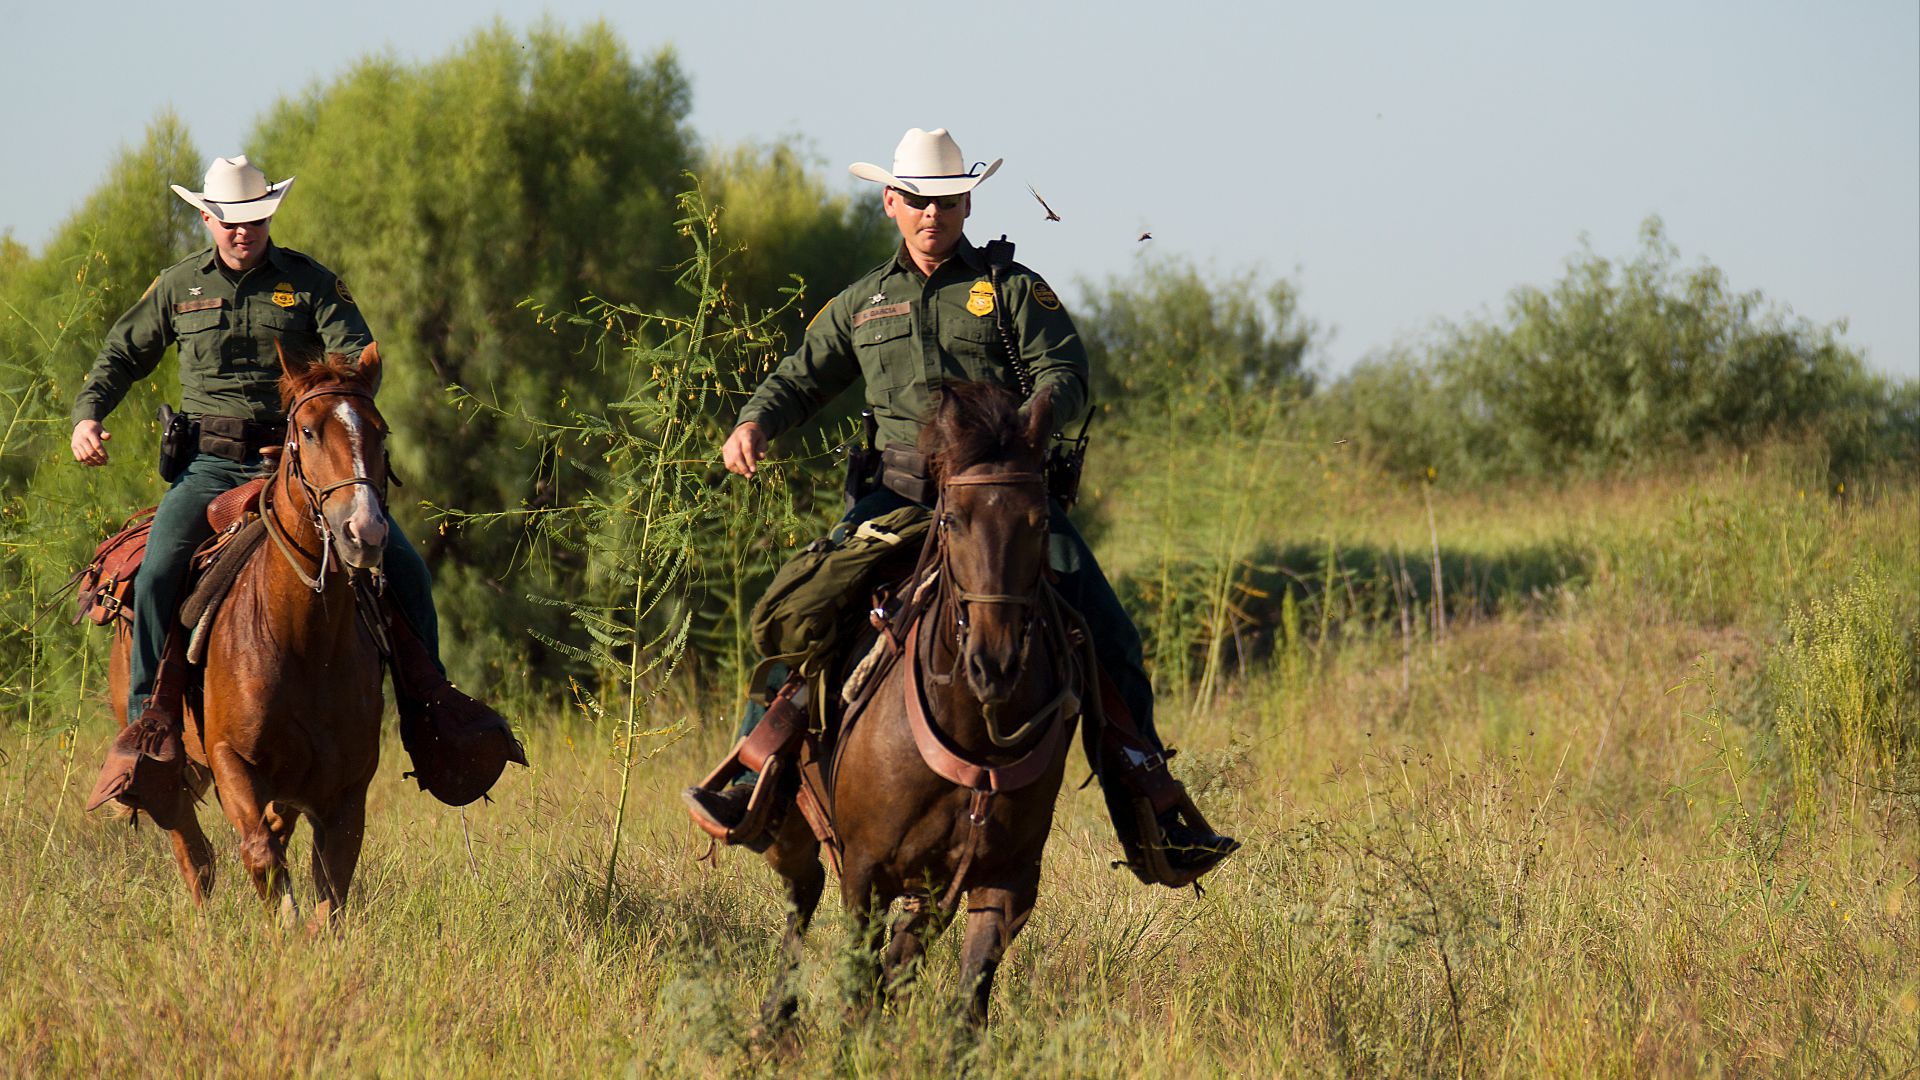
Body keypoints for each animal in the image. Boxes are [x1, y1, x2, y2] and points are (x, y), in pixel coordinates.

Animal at [108, 343, 392, 929]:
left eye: (380, 432)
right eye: (307, 430)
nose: (364, 531)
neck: (305, 641)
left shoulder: (348, 789)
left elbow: (331, 888)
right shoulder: (229, 759)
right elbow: (260, 855)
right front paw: (283, 924)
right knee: (195, 853)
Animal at [759, 381, 1087, 1028]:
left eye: (1041, 522)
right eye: (953, 520)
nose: (994, 664)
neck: (977, 738)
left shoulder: (1004, 883)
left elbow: (966, 1003)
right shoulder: (865, 873)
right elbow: (859, 984)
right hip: (796, 834)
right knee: (800, 902)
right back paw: (773, 1021)